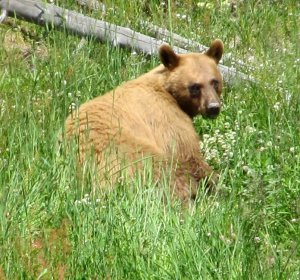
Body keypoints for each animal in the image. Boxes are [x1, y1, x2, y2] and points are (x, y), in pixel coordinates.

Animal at [66, 38, 225, 201]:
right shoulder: (166, 117)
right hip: (129, 154)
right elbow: (187, 154)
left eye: (214, 82)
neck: (168, 90)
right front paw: (216, 181)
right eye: (195, 86)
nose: (213, 107)